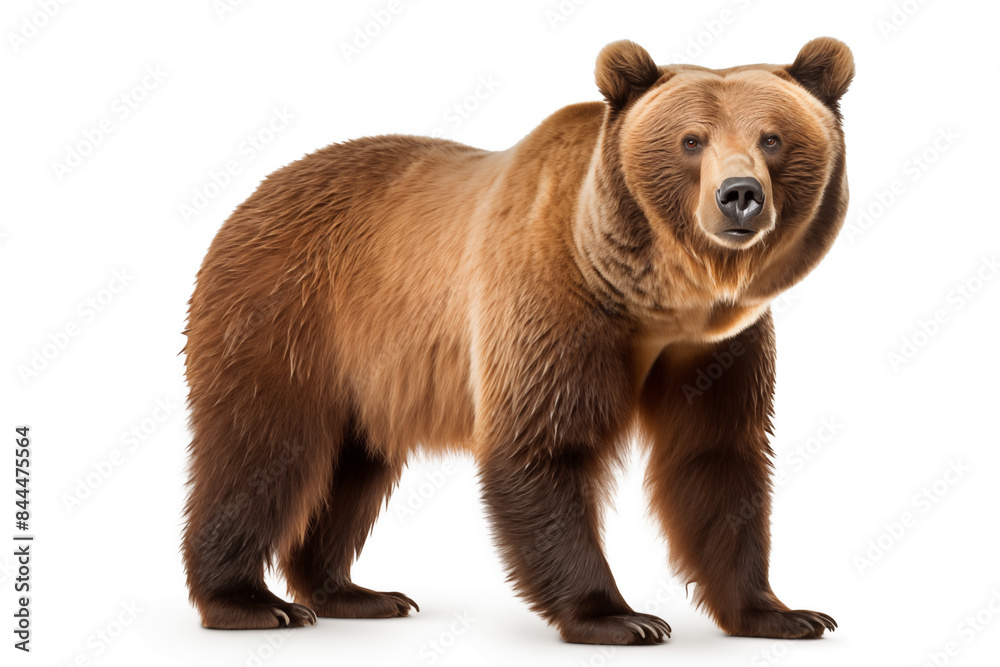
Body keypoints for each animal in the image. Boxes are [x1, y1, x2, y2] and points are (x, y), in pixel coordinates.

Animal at [181, 37, 853, 644]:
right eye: (692, 141)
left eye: (773, 138)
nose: (740, 195)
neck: (656, 302)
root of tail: (256, 192)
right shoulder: (551, 299)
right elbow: (544, 445)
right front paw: (619, 617)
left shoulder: (718, 347)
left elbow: (717, 459)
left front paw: (782, 613)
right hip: (287, 312)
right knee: (261, 449)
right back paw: (250, 601)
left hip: (364, 373)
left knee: (353, 466)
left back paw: (352, 592)